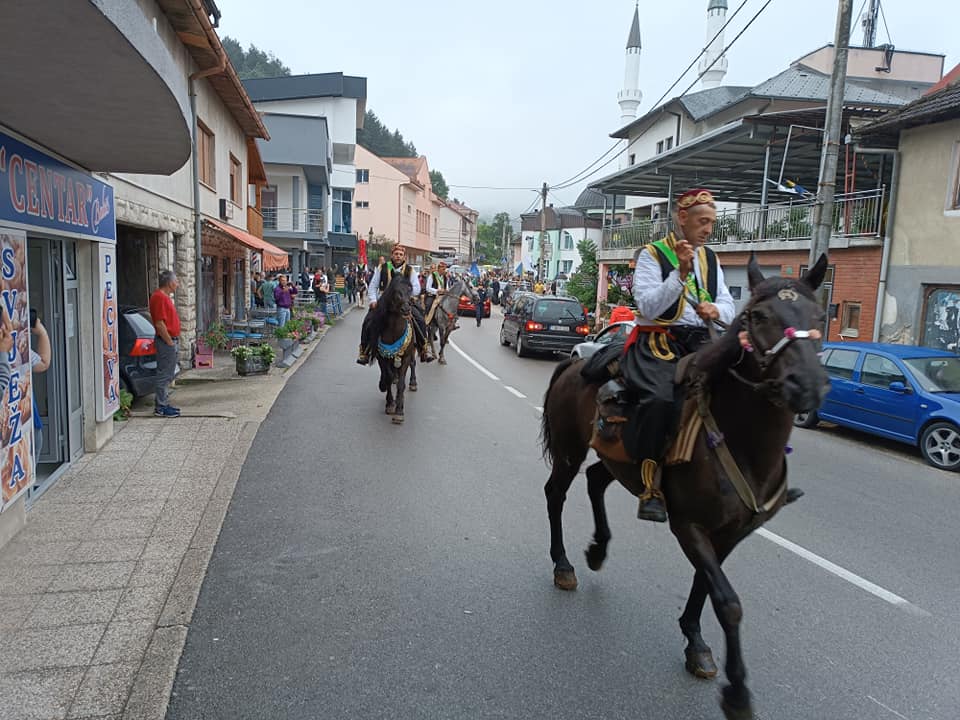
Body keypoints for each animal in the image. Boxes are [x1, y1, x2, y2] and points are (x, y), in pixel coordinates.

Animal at [368, 274, 418, 424]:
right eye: (396, 291)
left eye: (410, 290)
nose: (406, 309)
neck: (394, 332)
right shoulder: (382, 357)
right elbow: (389, 377)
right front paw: (390, 404)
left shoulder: (406, 357)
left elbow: (401, 383)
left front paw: (399, 411)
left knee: (412, 364)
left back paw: (413, 383)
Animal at [539, 255, 830, 720]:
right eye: (759, 316)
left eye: (820, 317)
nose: (807, 386)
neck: (742, 441)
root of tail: (575, 363)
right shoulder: (688, 525)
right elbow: (728, 602)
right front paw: (737, 691)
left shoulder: (731, 532)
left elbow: (706, 585)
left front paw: (695, 642)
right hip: (569, 451)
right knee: (556, 495)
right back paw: (563, 564)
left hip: (622, 462)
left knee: (596, 481)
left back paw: (598, 549)